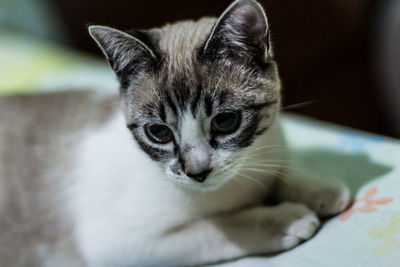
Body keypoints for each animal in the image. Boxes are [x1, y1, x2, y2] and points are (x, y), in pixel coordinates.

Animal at [0, 0, 350, 267]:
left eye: (225, 122)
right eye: (158, 132)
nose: (197, 172)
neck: (237, 187)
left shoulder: (268, 147)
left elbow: (280, 170)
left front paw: (320, 189)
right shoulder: (116, 244)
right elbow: (211, 229)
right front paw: (284, 220)